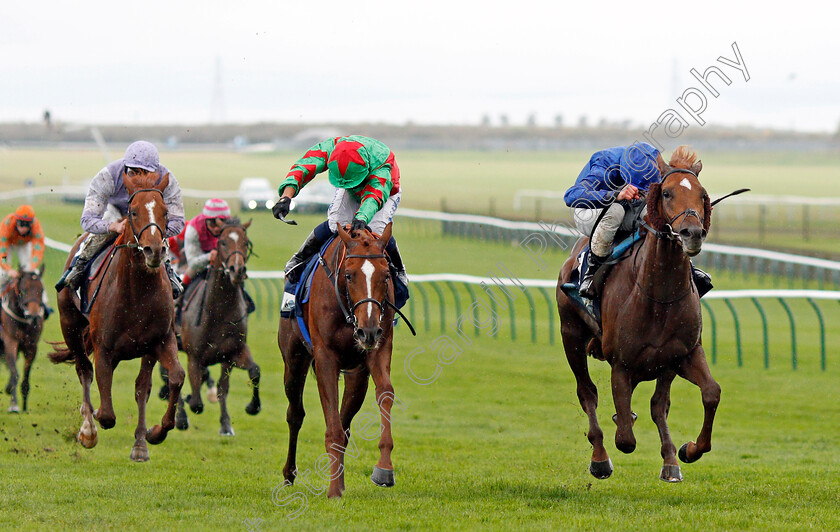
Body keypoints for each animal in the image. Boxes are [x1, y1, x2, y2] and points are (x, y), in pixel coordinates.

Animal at [1, 268, 46, 414]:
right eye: (23, 290)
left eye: (41, 290)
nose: (34, 315)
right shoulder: (10, 342)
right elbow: (15, 374)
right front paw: (14, 405)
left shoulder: (31, 347)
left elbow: (25, 376)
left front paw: (25, 407)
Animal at [49, 171, 184, 462]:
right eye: (133, 212)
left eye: (166, 212)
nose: (154, 251)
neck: (137, 293)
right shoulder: (104, 348)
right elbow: (107, 411)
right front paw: (92, 422)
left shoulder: (161, 340)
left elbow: (172, 378)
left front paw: (152, 434)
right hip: (70, 326)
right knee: (83, 369)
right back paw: (88, 428)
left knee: (141, 385)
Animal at [181, 218, 260, 434]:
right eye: (223, 242)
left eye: (246, 242)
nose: (237, 270)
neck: (219, 313)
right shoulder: (194, 357)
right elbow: (196, 402)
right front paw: (188, 400)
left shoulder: (232, 353)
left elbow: (252, 372)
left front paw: (231, 420)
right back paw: (180, 416)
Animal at [280, 222, 398, 496]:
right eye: (349, 275)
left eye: (386, 275)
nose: (368, 331)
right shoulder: (325, 357)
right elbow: (331, 424)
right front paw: (333, 490)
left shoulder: (378, 348)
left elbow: (385, 393)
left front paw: (384, 469)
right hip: (293, 362)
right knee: (295, 414)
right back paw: (289, 474)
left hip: (357, 375)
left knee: (345, 424)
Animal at [556, 145, 720, 482]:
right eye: (667, 193)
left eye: (702, 195)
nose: (692, 233)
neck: (660, 296)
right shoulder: (621, 363)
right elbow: (626, 439)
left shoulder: (682, 354)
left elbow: (707, 393)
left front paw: (686, 451)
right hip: (571, 336)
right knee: (587, 393)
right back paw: (600, 458)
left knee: (654, 404)